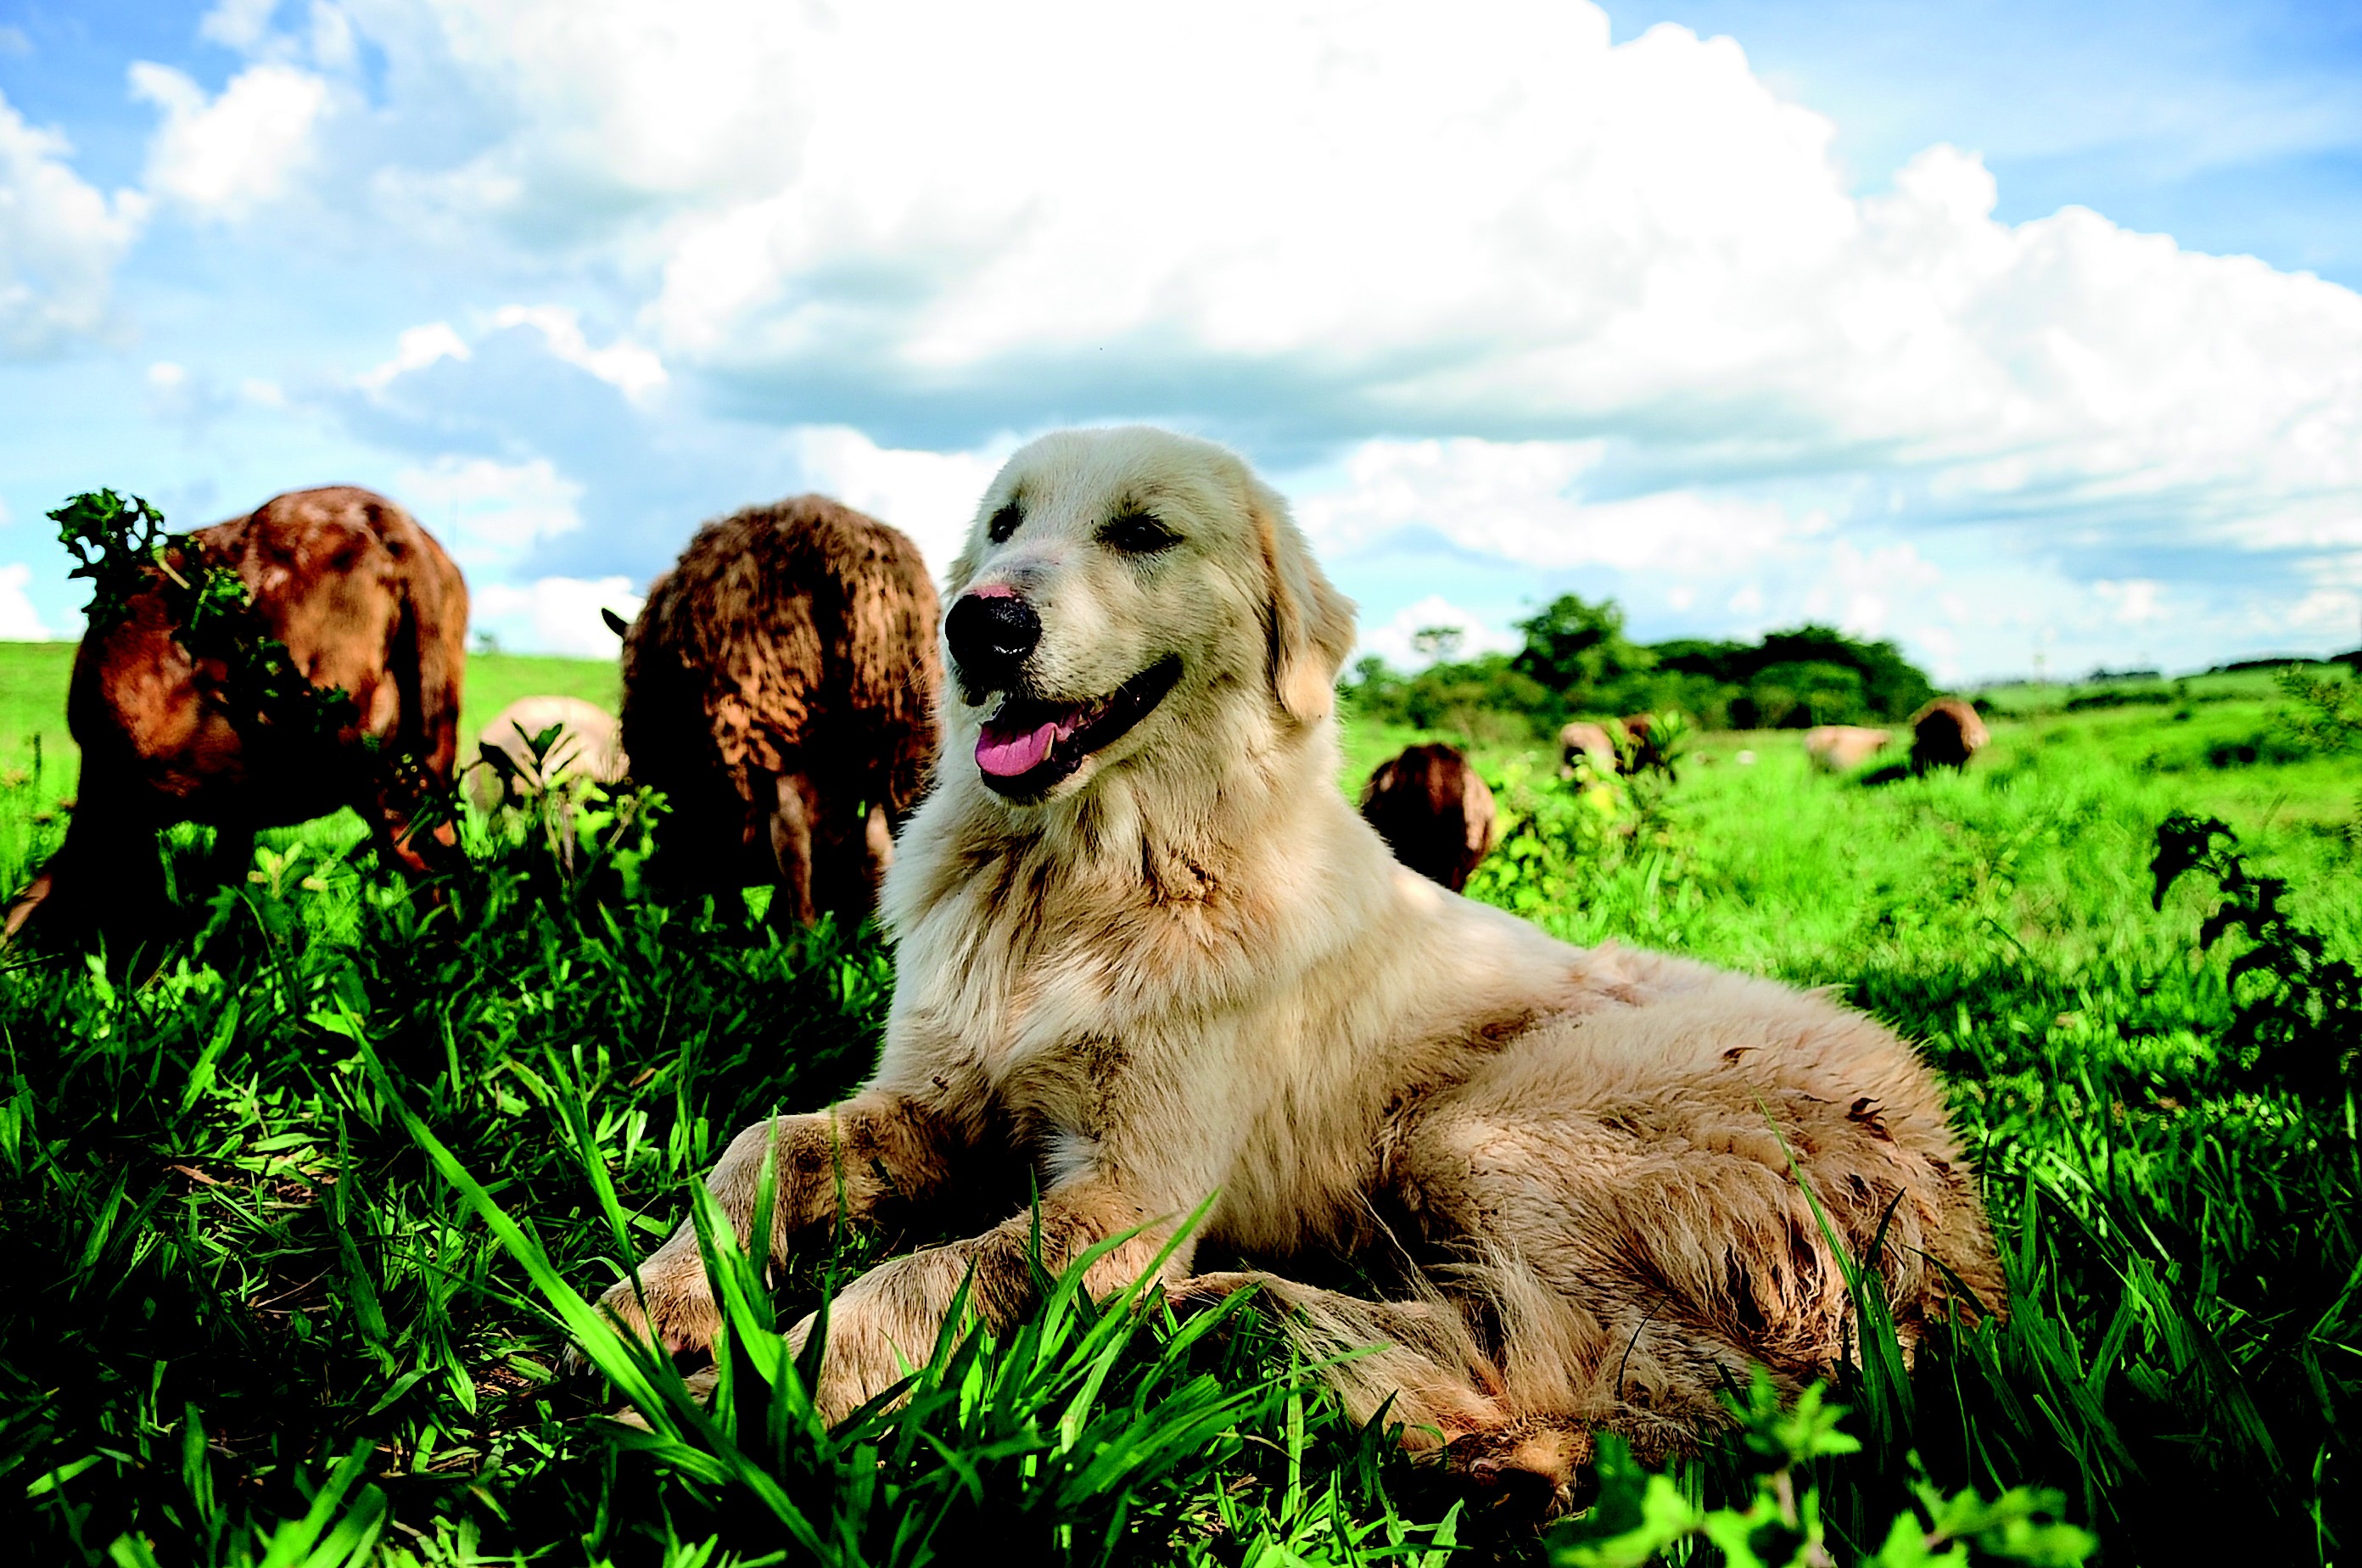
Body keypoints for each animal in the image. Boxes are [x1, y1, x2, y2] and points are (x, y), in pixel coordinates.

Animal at [4, 484, 465, 949]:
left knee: (414, 848)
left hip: (340, 730)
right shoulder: (237, 805)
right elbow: (226, 883)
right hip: (433, 719)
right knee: (442, 841)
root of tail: (385, 518)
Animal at [618, 496, 940, 925]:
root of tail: (834, 546)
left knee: (792, 838)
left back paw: (802, 930)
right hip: (892, 724)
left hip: (772, 715)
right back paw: (871, 926)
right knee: (875, 838)